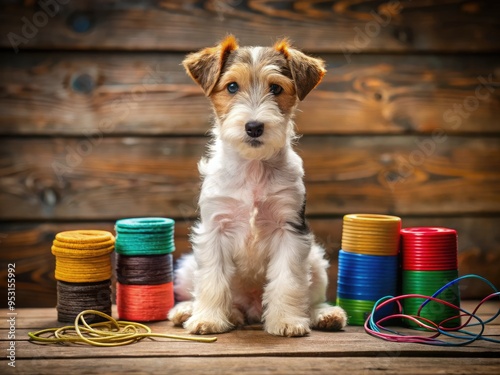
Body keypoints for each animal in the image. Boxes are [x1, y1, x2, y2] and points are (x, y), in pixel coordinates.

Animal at [169, 35, 348, 338]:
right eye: (231, 86)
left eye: (276, 88)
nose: (254, 127)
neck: (253, 168)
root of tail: (251, 310)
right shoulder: (214, 230)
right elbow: (212, 280)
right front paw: (208, 319)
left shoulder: (290, 230)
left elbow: (288, 281)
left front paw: (286, 321)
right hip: (186, 266)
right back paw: (195, 311)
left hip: (315, 259)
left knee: (312, 296)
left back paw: (324, 314)